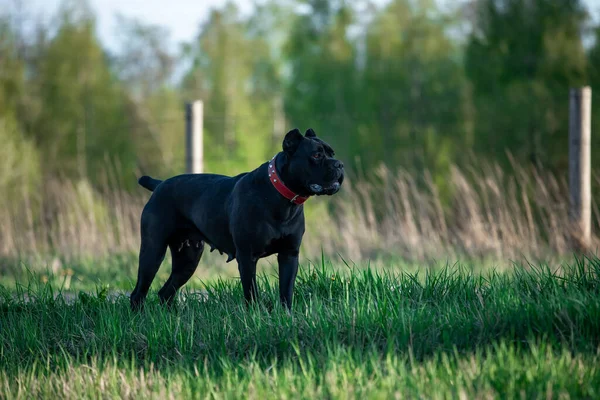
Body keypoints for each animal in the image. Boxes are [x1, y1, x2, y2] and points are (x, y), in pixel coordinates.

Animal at [131, 128, 344, 310]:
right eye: (316, 155)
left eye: (332, 153)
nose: (340, 164)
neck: (282, 199)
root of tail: (159, 185)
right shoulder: (247, 257)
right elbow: (252, 293)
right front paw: (255, 316)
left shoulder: (289, 255)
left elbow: (286, 291)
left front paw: (286, 316)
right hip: (153, 250)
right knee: (138, 292)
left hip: (187, 259)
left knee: (166, 292)